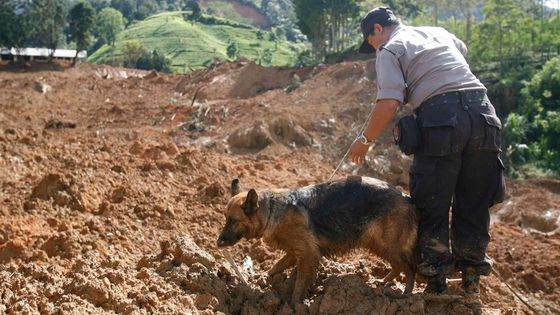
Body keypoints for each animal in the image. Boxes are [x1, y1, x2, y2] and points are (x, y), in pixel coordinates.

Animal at [217, 177, 418, 304]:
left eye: (233, 221)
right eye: (225, 218)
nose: (218, 243)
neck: (272, 211)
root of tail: (406, 197)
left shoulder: (307, 255)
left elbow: (299, 285)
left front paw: (293, 306)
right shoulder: (294, 252)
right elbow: (276, 266)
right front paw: (262, 278)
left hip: (386, 245)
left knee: (410, 269)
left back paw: (406, 296)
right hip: (377, 244)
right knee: (398, 266)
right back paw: (382, 282)